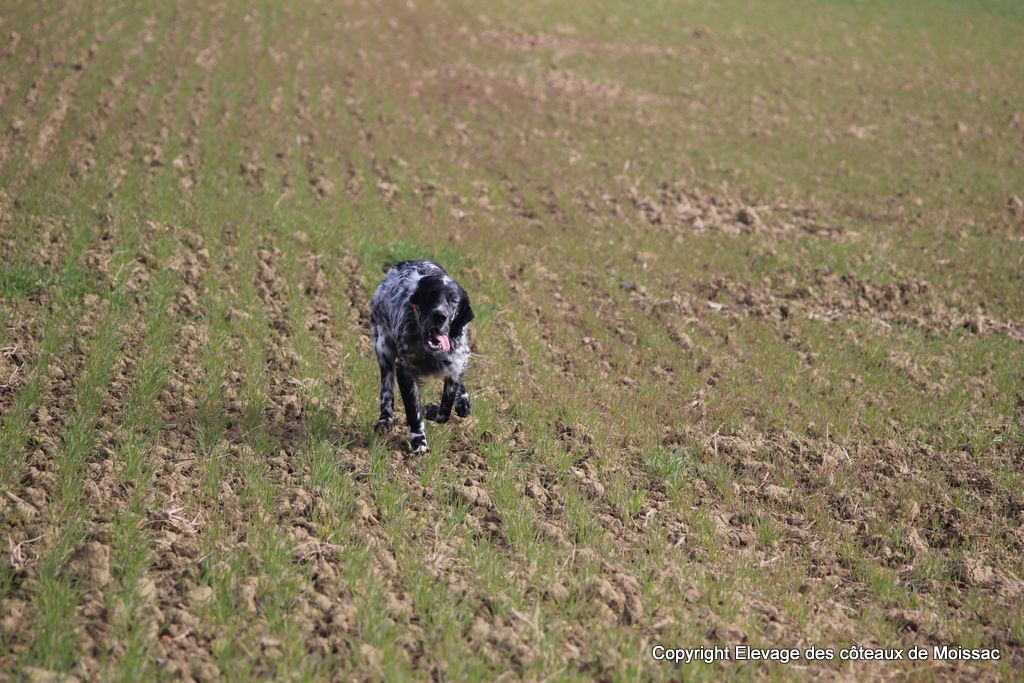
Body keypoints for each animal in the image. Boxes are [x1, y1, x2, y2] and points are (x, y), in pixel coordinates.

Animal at [370, 259, 473, 450]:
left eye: (454, 300)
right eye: (431, 295)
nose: (440, 315)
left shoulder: (457, 361)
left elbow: (445, 409)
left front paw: (431, 410)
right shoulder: (404, 369)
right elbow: (413, 411)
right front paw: (419, 442)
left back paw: (463, 401)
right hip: (383, 347)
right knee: (386, 388)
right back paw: (385, 420)